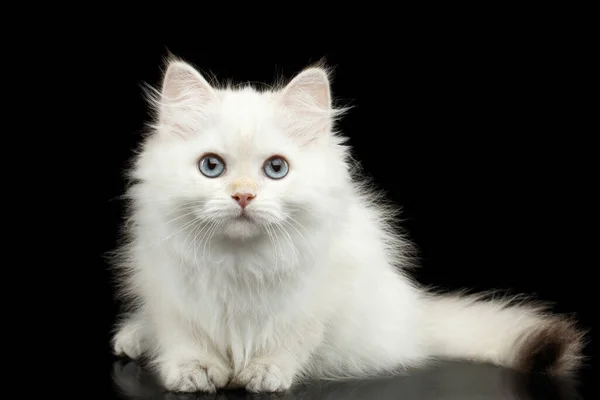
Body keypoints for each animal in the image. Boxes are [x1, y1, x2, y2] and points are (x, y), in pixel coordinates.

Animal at [109, 57, 584, 394]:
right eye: (212, 167)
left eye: (276, 169)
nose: (243, 196)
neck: (240, 262)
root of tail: (416, 315)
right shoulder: (169, 292)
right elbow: (186, 339)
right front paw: (195, 372)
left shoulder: (314, 300)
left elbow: (287, 342)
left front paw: (263, 373)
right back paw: (131, 340)